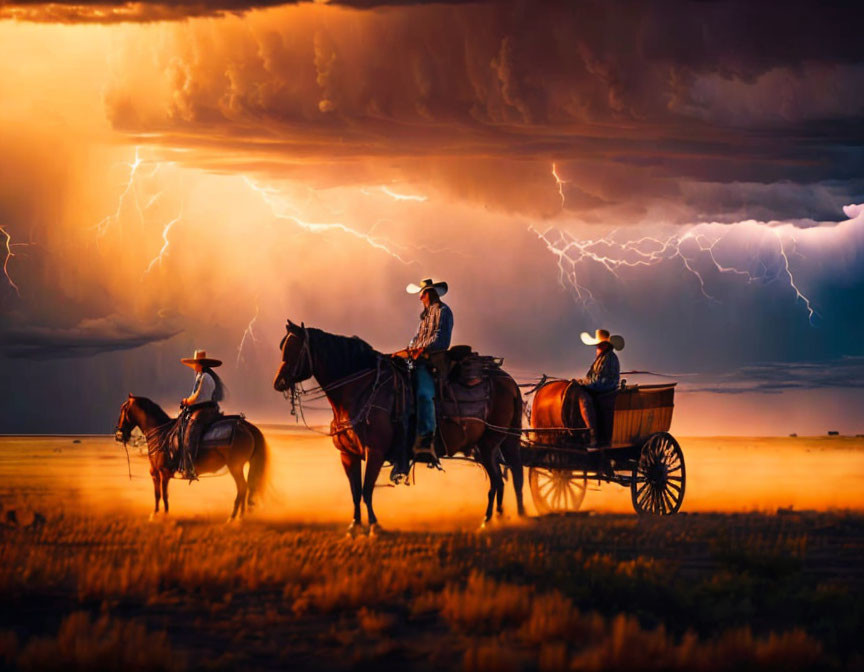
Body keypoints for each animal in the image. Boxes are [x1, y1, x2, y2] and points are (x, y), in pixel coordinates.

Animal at [115, 396, 268, 524]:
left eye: (123, 409)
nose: (118, 435)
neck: (160, 434)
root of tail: (247, 426)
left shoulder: (164, 473)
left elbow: (164, 495)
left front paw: (165, 515)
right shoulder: (155, 473)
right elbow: (157, 494)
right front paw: (155, 514)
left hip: (235, 466)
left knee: (242, 487)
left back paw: (233, 518)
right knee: (245, 487)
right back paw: (240, 517)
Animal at [274, 320, 524, 536]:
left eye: (293, 349)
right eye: (283, 348)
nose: (279, 383)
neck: (360, 389)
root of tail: (508, 380)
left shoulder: (374, 452)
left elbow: (367, 489)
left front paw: (375, 526)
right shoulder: (348, 454)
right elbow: (355, 492)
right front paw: (354, 525)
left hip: (489, 444)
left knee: (500, 480)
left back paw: (491, 522)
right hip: (496, 445)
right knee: (508, 478)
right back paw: (501, 519)